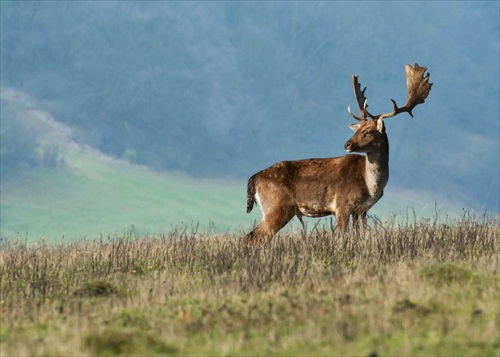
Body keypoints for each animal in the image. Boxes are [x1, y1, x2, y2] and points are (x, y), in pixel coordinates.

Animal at [244, 63, 432, 245]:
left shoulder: (361, 210)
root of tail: (253, 179)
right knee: (254, 236)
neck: (370, 186)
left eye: (368, 131)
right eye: (359, 129)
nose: (347, 144)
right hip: (277, 206)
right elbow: (343, 236)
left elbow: (360, 235)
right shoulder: (342, 204)